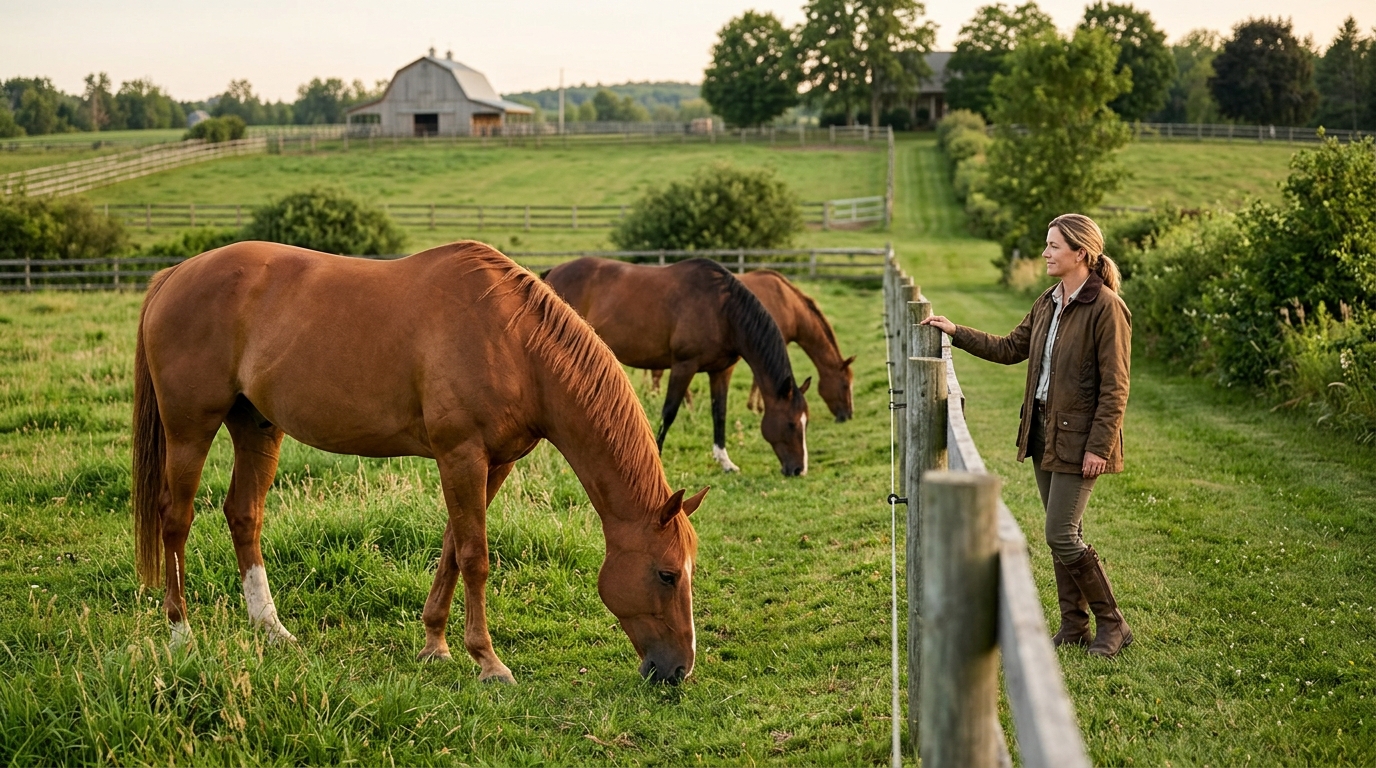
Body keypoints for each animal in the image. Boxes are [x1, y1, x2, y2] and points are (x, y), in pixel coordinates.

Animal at [132, 240, 707, 684]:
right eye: (666, 575)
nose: (678, 670)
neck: (513, 342)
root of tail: (174, 275)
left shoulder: (492, 463)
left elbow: (453, 547)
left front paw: (435, 643)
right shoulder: (461, 455)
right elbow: (475, 557)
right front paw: (489, 662)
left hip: (256, 427)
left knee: (244, 515)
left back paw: (272, 629)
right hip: (190, 428)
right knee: (175, 520)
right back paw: (181, 633)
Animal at [543, 257, 811, 476]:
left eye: (805, 422)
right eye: (791, 424)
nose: (799, 469)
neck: (722, 310)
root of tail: (553, 272)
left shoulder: (720, 371)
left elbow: (719, 412)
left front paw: (725, 462)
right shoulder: (684, 365)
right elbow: (669, 412)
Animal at [650, 270, 855, 422]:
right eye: (845, 385)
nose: (848, 415)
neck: (789, 305)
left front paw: (755, 406)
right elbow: (759, 379)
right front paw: (757, 407)